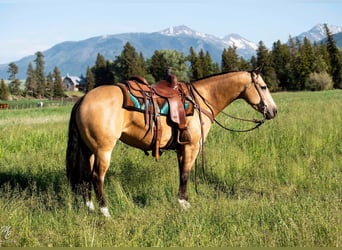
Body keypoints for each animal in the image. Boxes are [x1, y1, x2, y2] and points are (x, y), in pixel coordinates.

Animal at [66, 70, 278, 217]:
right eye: (264, 87)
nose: (274, 111)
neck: (201, 100)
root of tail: (83, 99)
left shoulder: (181, 148)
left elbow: (181, 173)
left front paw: (181, 200)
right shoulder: (191, 146)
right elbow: (185, 174)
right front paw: (183, 203)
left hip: (89, 150)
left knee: (86, 176)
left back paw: (90, 207)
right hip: (103, 150)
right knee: (97, 178)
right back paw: (105, 212)